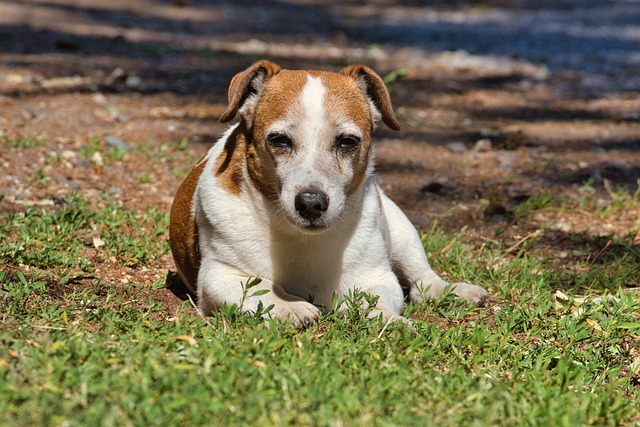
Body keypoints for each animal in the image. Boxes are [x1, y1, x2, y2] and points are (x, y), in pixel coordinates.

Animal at [169, 61, 484, 328]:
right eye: (279, 140)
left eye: (347, 142)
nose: (311, 203)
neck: (300, 238)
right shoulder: (219, 277)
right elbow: (261, 289)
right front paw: (290, 306)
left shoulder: (377, 277)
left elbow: (377, 300)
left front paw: (387, 320)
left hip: (401, 229)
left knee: (421, 279)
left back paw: (452, 290)